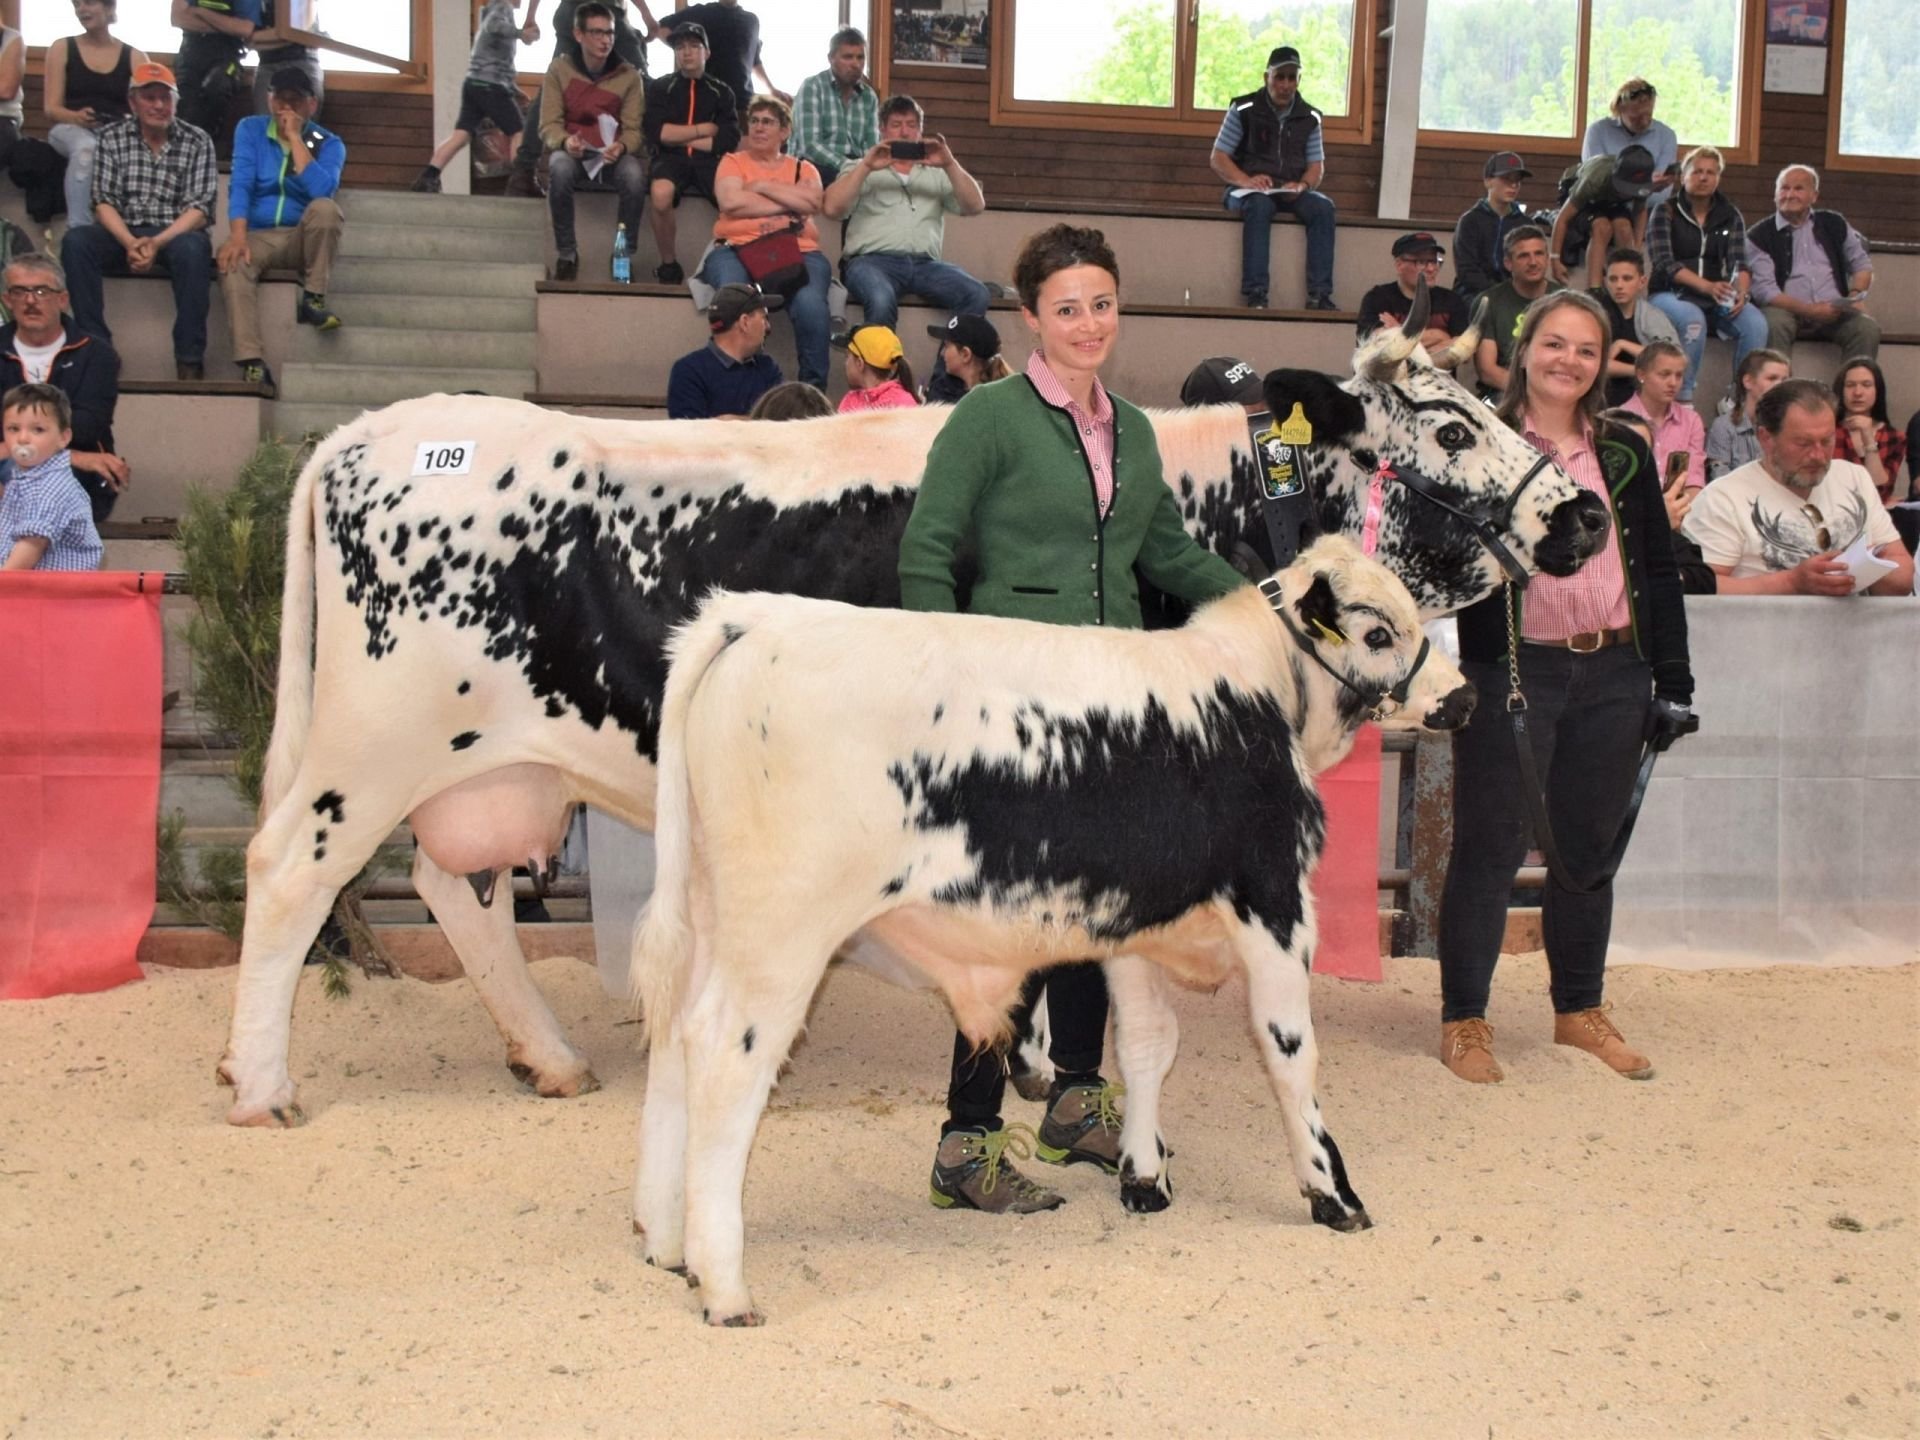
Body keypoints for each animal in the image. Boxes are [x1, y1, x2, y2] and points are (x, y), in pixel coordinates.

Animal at [217, 326, 1612, 1128]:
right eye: (1453, 424)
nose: (1588, 516)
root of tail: (377, 430)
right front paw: (1049, 1072)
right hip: (371, 743)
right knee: (287, 873)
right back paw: (265, 1085)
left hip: (491, 767)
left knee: (455, 892)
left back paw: (546, 1058)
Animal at [637, 537, 1474, 1328]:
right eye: (1377, 631)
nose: (1461, 697)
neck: (1254, 693)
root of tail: (753, 618)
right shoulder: (1275, 901)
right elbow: (1290, 1050)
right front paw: (1332, 1192)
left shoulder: (1138, 923)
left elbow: (1145, 1047)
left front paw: (1144, 1176)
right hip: (780, 935)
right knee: (724, 1057)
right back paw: (724, 1283)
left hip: (709, 917)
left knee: (675, 1039)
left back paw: (665, 1241)